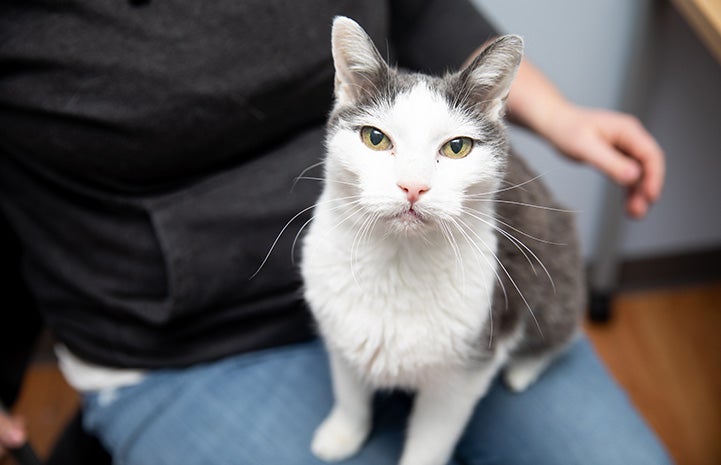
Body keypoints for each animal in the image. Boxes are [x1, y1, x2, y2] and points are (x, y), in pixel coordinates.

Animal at [298, 16, 584, 464]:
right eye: (375, 138)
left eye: (457, 147)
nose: (413, 186)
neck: (397, 263)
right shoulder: (339, 328)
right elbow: (349, 391)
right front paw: (342, 433)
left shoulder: (463, 375)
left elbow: (431, 440)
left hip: (556, 272)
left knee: (560, 331)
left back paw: (523, 368)